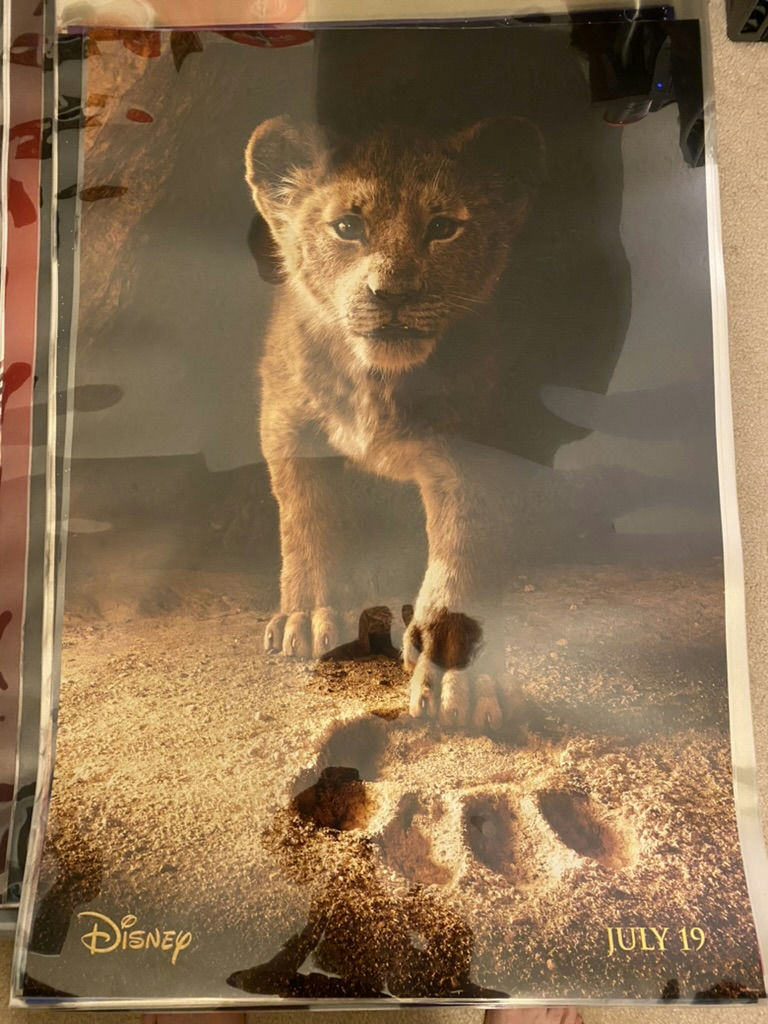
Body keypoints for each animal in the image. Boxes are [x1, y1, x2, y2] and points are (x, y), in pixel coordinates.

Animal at [245, 115, 549, 733]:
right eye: (347, 226)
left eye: (443, 227)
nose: (393, 294)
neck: (377, 381)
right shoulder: (286, 423)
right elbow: (305, 521)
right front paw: (308, 614)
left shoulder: (474, 449)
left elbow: (464, 553)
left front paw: (462, 676)